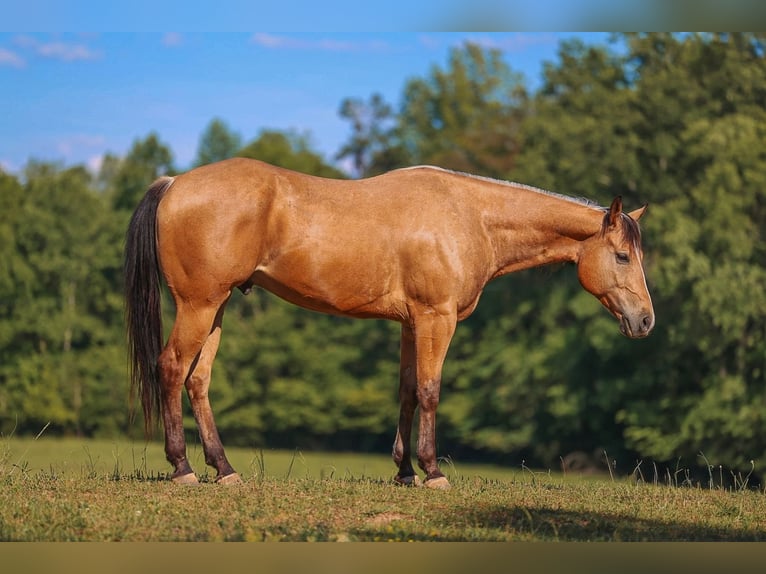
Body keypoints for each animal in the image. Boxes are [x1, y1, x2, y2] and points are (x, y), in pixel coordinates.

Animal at [124, 157, 654, 489]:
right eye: (623, 256)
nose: (646, 320)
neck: (470, 215)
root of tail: (175, 183)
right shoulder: (437, 317)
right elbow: (430, 390)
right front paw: (432, 472)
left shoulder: (410, 323)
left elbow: (406, 390)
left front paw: (404, 472)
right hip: (199, 305)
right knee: (171, 369)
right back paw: (182, 467)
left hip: (216, 310)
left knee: (198, 381)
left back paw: (224, 468)